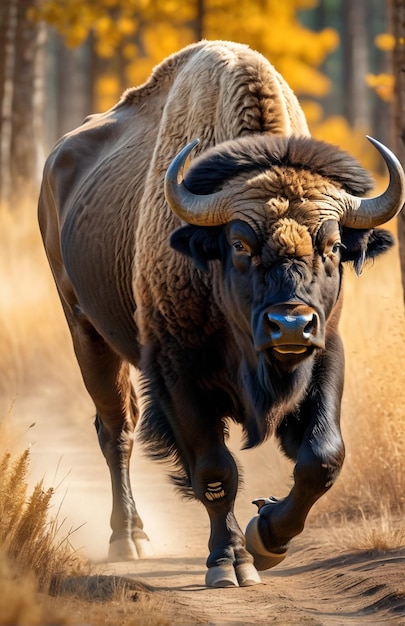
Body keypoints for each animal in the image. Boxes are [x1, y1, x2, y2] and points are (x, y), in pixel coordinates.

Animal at [38, 39, 404, 584]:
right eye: (239, 244)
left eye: (335, 246)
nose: (290, 325)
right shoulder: (178, 373)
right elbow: (215, 470)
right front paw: (230, 561)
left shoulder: (324, 355)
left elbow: (321, 458)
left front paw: (267, 537)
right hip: (86, 330)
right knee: (116, 430)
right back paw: (130, 539)